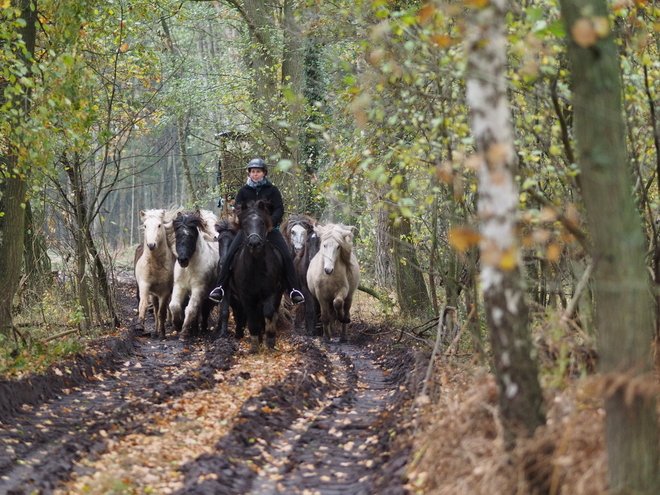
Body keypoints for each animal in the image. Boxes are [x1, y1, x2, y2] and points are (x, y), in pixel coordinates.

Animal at [169, 209, 220, 340]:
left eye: (191, 236)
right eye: (177, 235)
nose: (183, 260)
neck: (189, 268)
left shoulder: (199, 288)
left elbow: (191, 309)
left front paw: (185, 332)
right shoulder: (180, 286)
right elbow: (174, 306)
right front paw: (177, 325)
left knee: (204, 309)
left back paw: (202, 328)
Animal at [231, 200, 284, 354]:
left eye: (262, 223)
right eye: (244, 223)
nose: (254, 243)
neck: (255, 268)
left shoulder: (271, 293)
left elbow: (269, 313)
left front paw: (270, 340)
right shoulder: (245, 296)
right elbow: (252, 318)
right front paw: (255, 346)